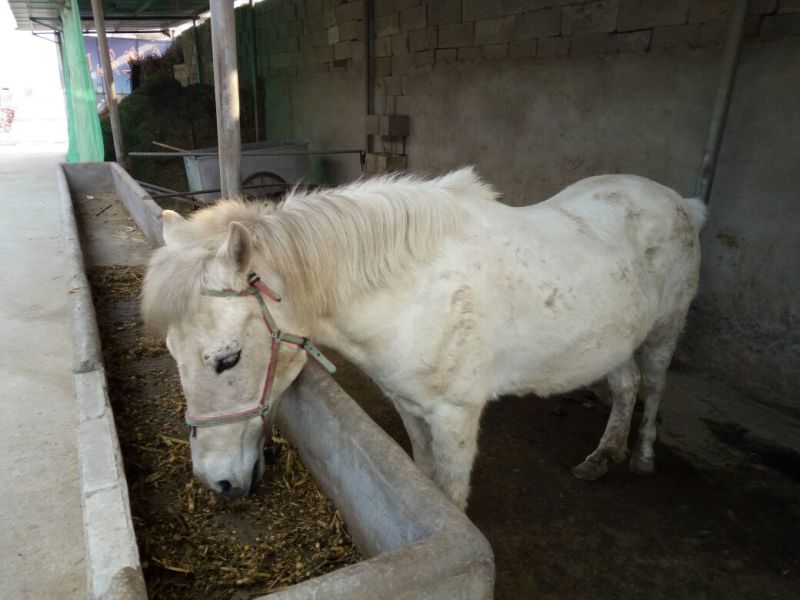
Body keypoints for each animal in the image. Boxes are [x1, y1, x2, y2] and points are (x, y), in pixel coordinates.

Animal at [141, 167, 706, 508]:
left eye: (227, 359)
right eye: (171, 354)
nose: (215, 481)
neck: (412, 290)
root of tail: (678, 200)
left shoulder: (455, 416)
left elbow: (451, 495)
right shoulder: (409, 406)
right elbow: (426, 474)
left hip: (663, 332)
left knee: (653, 386)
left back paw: (642, 458)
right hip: (613, 340)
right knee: (626, 386)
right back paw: (603, 455)